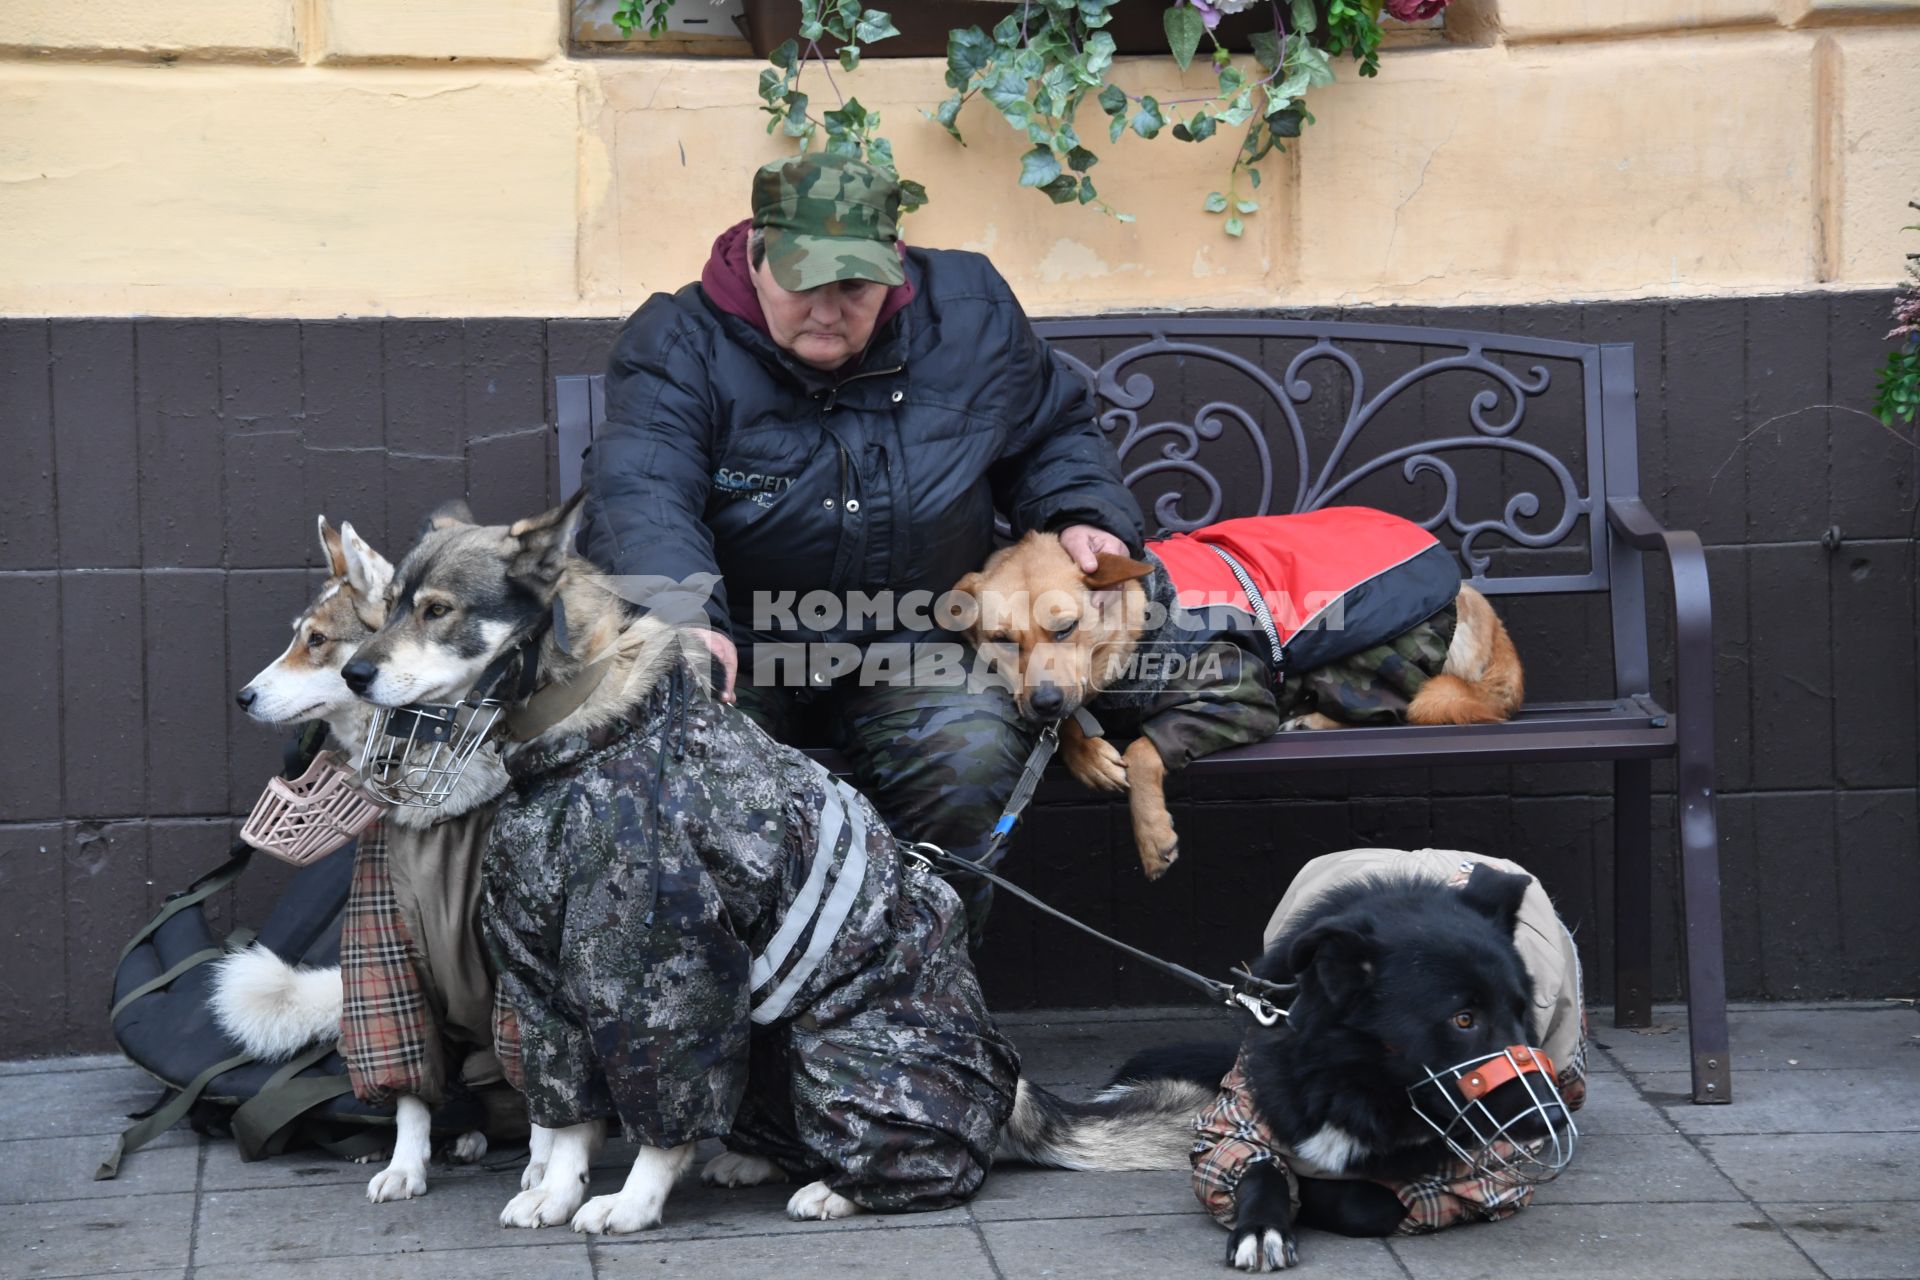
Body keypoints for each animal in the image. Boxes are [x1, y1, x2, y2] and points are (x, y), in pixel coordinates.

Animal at [341, 495, 1021, 1235]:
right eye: (388, 607)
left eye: (438, 610)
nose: (353, 675)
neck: (584, 738)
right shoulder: (537, 976)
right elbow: (566, 1114)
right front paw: (557, 1189)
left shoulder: (663, 959)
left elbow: (662, 1105)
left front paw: (634, 1201)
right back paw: (757, 1160)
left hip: (843, 1049)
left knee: (938, 1158)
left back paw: (844, 1188)